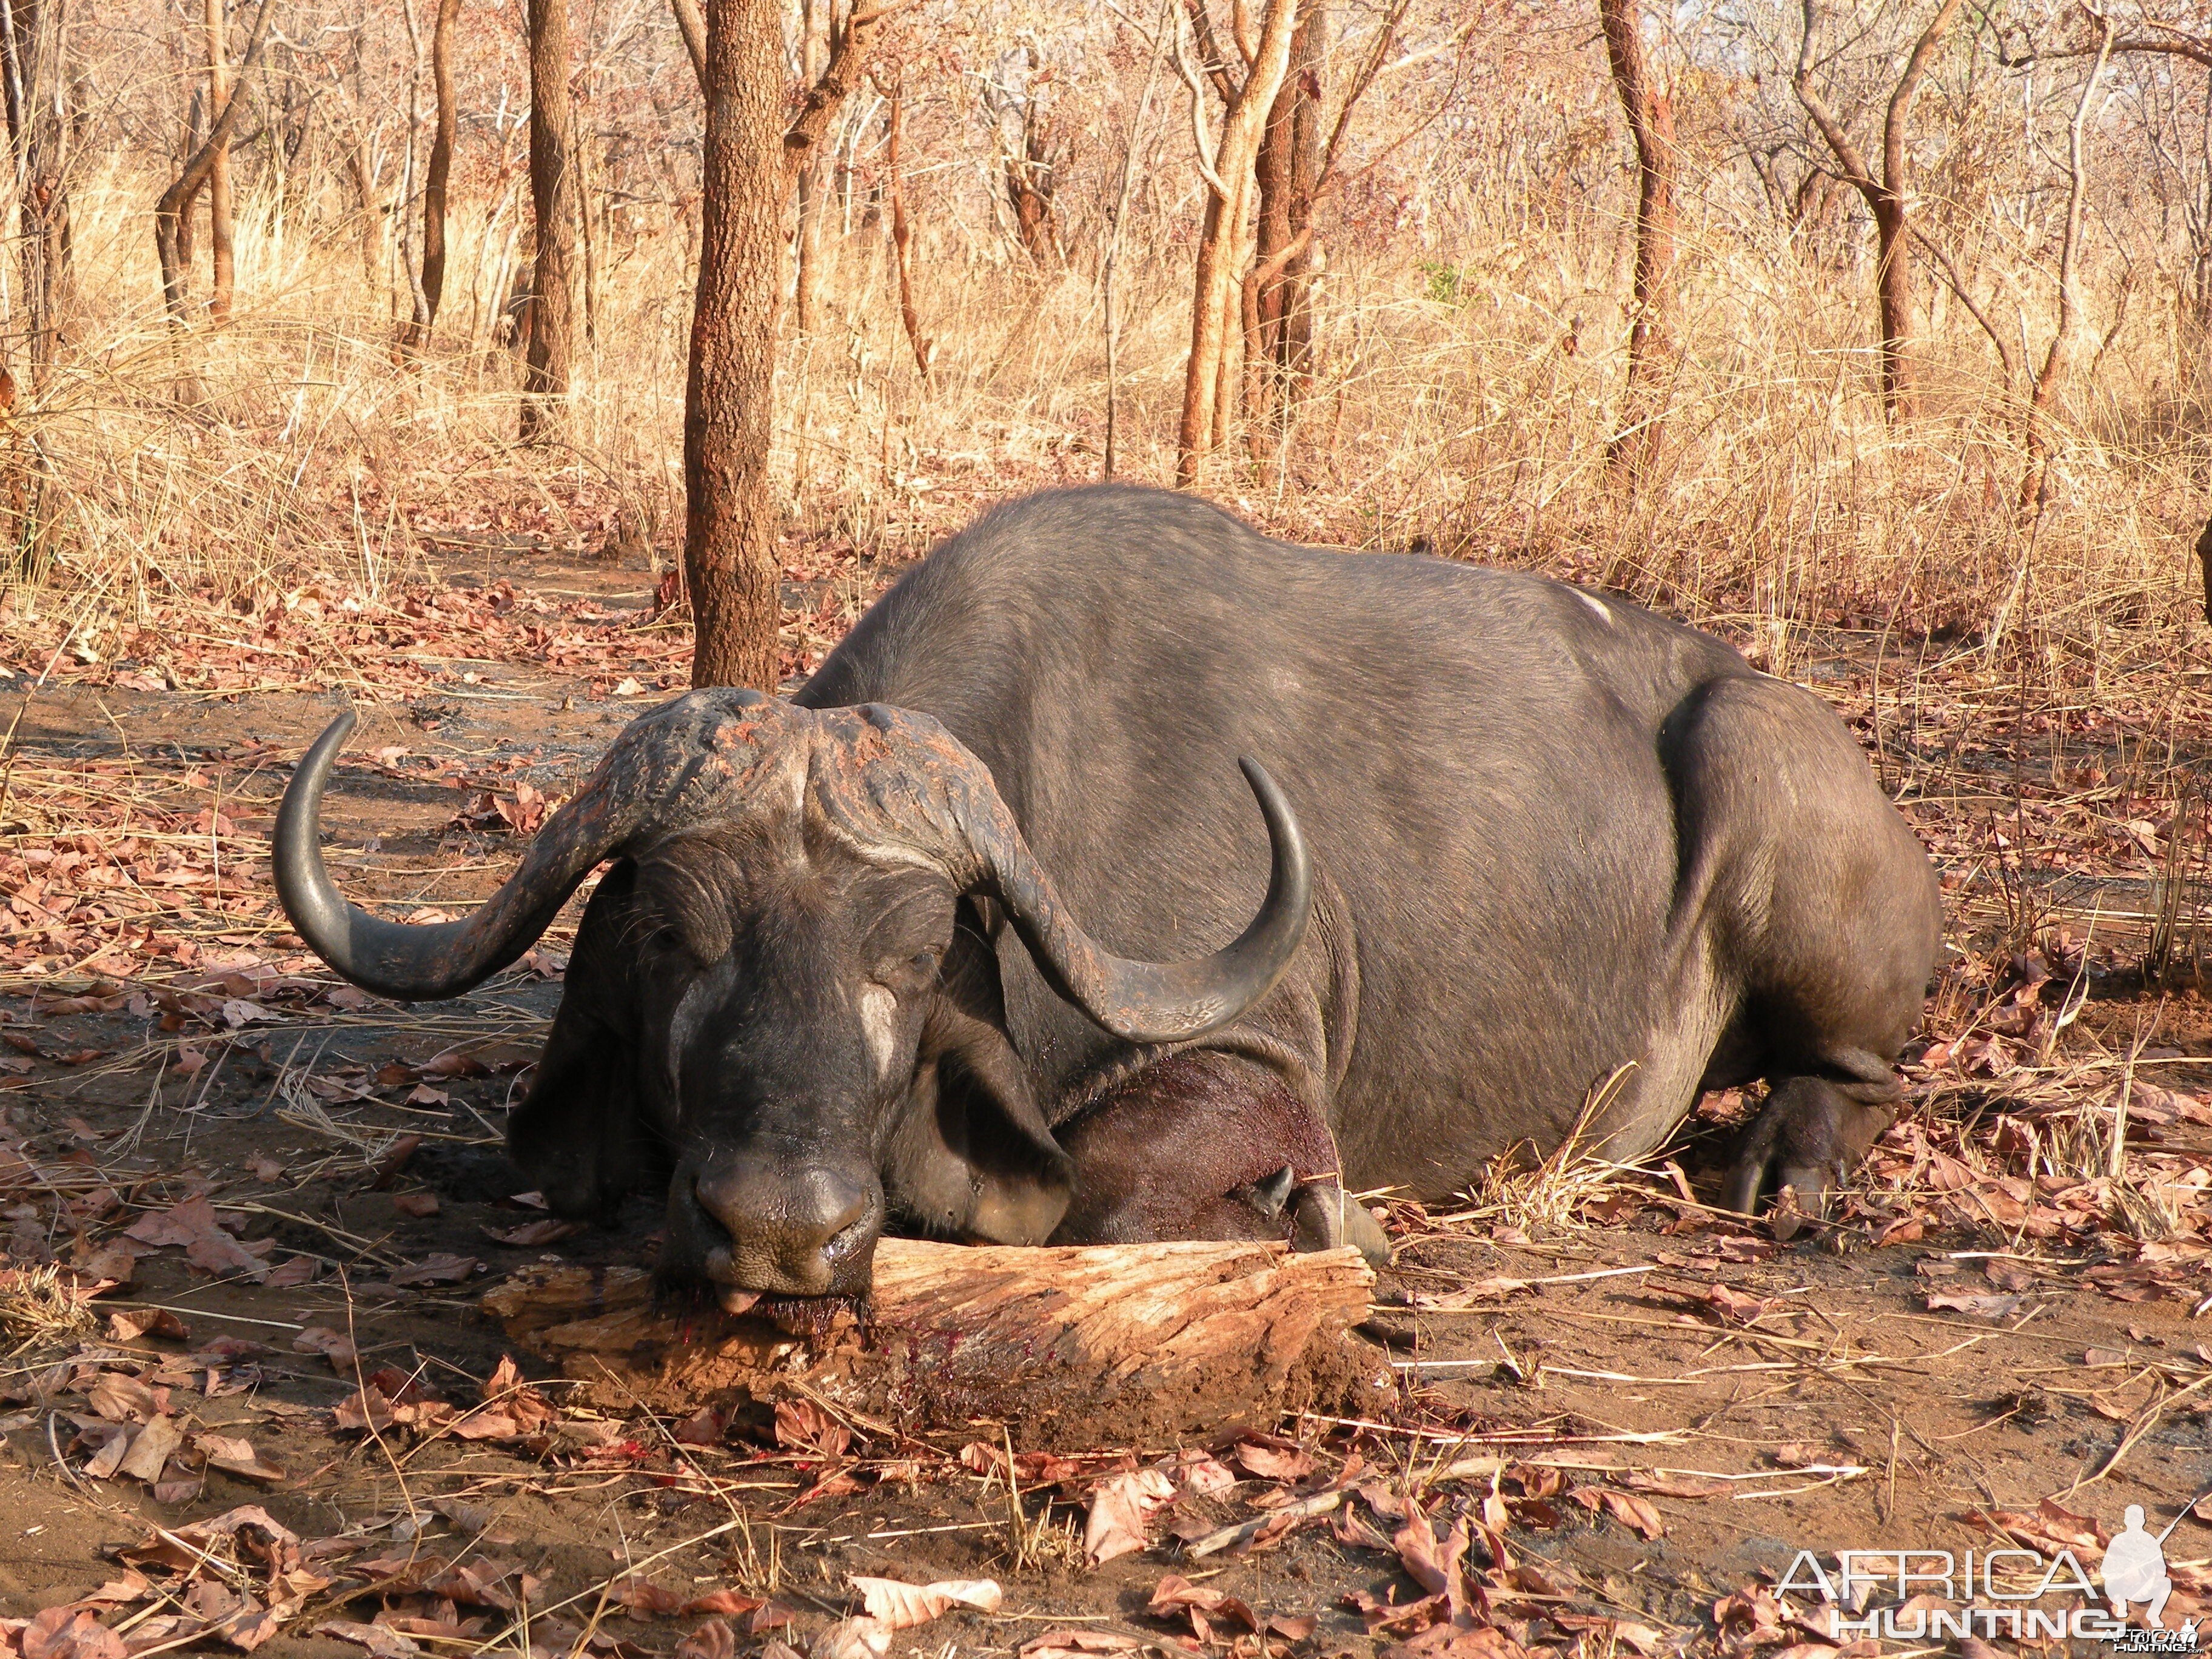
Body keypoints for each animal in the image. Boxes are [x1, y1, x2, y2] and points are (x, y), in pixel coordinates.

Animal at [272, 486, 1937, 1309]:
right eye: (677, 943)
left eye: (909, 957)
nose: (782, 1235)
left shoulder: (1252, 1062)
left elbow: (1106, 1206)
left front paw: (1315, 1224)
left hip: (1766, 782)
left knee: (1860, 1070)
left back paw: (1783, 1165)